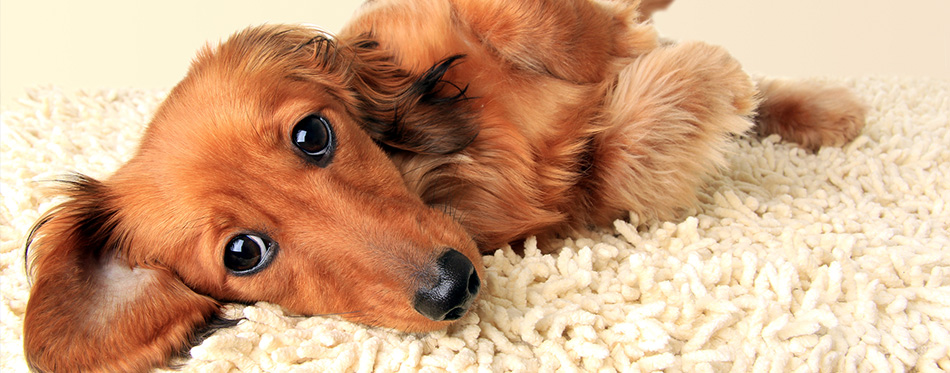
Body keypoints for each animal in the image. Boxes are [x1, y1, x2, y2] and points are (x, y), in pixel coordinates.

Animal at [22, 0, 872, 370]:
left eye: (312, 134)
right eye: (243, 253)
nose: (451, 287)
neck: (448, 165)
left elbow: (532, 19)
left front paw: (608, 38)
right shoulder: (570, 212)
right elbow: (620, 159)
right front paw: (697, 85)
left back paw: (816, 107)